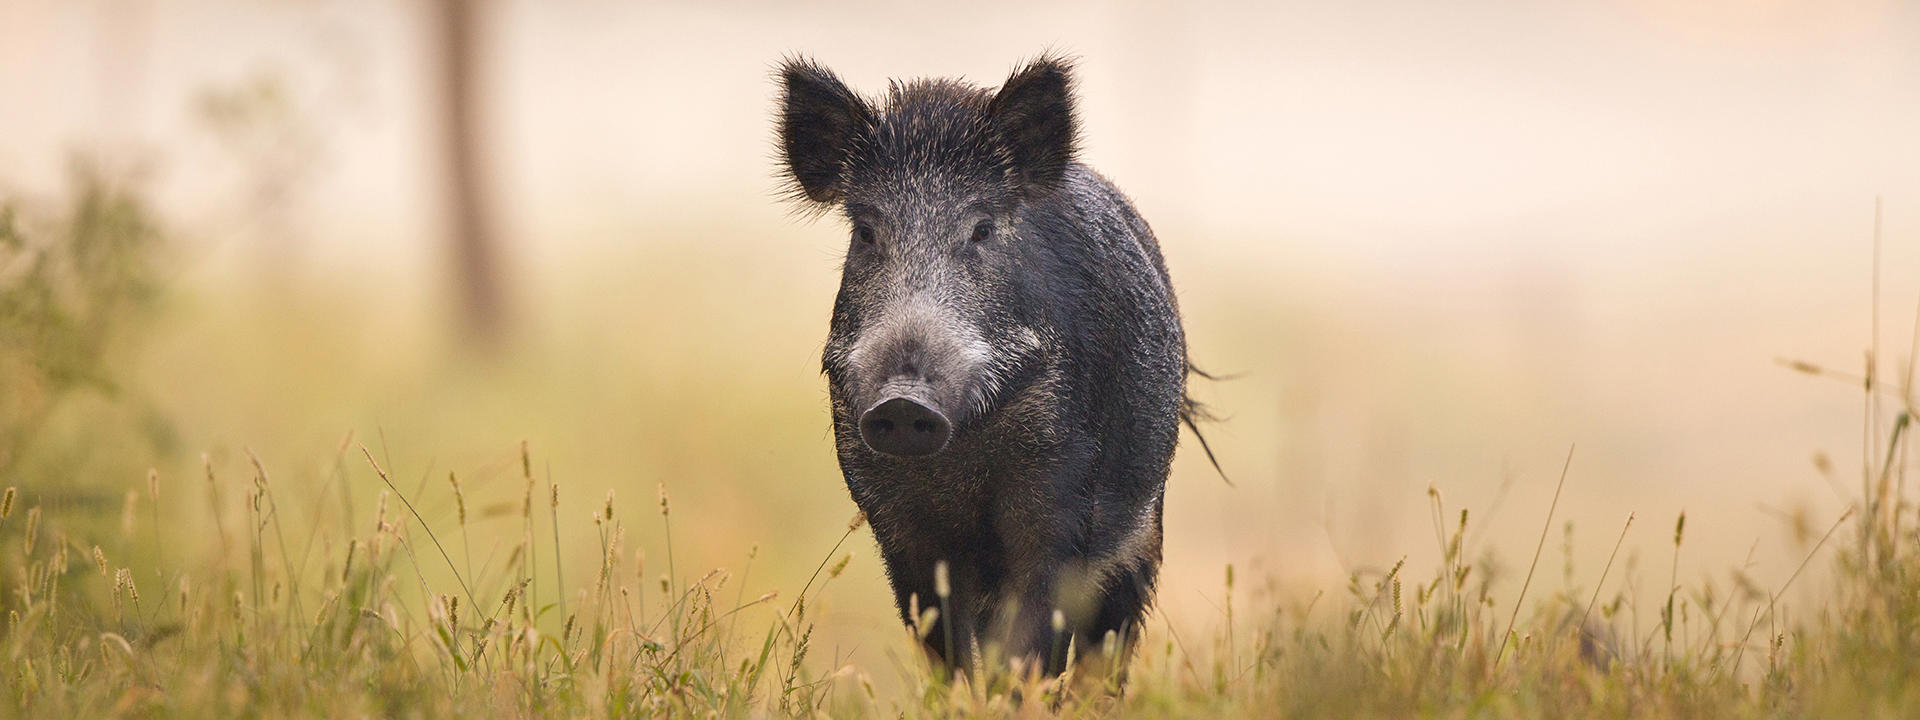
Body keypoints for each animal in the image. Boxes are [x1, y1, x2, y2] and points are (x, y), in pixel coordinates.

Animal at [775, 54, 1210, 679]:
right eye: (865, 232)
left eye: (981, 229)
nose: (903, 400)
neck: (961, 455)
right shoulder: (893, 517)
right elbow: (945, 645)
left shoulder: (1062, 487)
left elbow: (1033, 644)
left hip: (1143, 531)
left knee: (1108, 646)